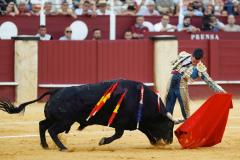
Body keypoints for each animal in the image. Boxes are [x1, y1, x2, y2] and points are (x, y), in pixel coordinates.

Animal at [0, 79, 172, 151]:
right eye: (169, 126)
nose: (170, 141)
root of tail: (56, 91)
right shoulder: (122, 123)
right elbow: (119, 135)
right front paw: (103, 141)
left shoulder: (136, 122)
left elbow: (146, 131)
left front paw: (155, 142)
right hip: (65, 121)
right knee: (52, 130)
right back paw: (63, 148)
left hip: (55, 119)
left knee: (42, 125)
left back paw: (46, 146)